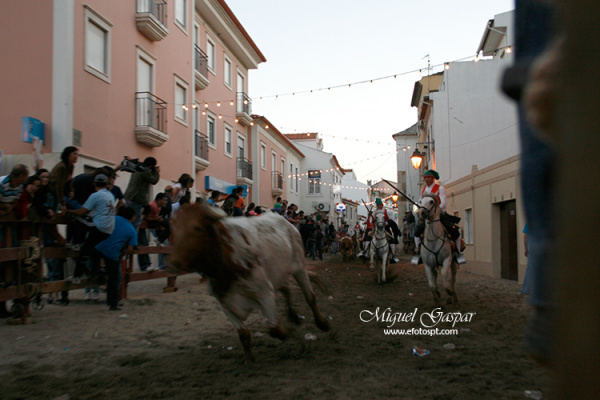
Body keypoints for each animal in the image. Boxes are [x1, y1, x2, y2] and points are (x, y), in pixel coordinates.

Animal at [166, 205, 330, 364]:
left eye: (197, 227)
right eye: (173, 227)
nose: (173, 263)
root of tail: (288, 224)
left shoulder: (264, 293)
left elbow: (274, 329)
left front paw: (287, 333)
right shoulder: (225, 304)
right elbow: (244, 334)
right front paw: (248, 359)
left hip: (298, 267)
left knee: (310, 296)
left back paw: (322, 323)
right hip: (278, 272)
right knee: (287, 289)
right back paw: (294, 316)